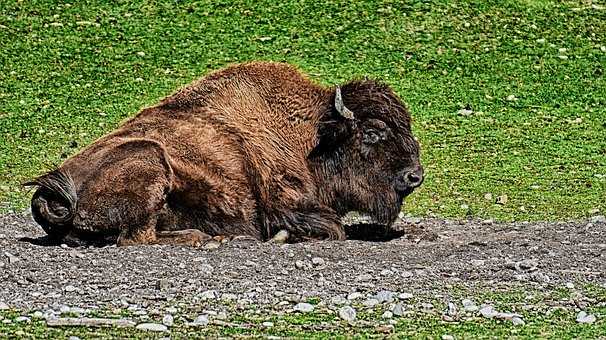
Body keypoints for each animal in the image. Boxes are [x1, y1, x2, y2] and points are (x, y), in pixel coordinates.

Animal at [23, 61, 426, 247]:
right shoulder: (288, 205)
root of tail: (52, 193)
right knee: (137, 237)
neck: (313, 136)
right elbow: (333, 227)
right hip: (151, 160)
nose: (415, 175)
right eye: (373, 133)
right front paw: (280, 237)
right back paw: (210, 238)